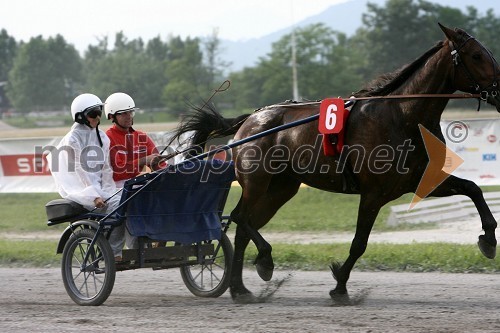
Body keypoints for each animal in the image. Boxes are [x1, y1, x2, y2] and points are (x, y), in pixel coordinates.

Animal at [170, 23, 498, 302]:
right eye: (476, 55)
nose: (498, 88)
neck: (402, 116)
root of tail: (250, 119)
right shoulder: (374, 193)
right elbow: (359, 242)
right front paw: (340, 283)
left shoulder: (418, 180)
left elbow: (473, 189)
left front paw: (489, 239)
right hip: (256, 181)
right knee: (240, 217)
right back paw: (263, 261)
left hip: (280, 189)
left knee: (243, 226)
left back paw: (240, 287)